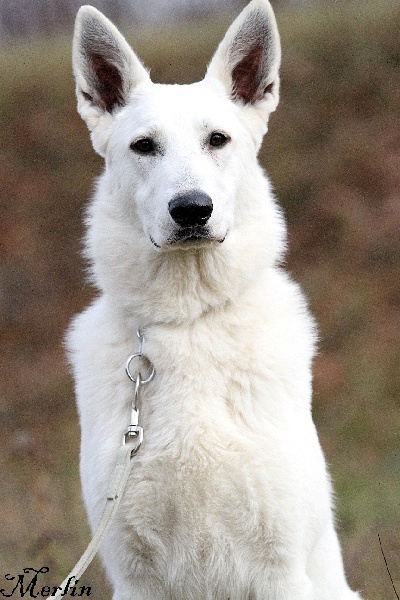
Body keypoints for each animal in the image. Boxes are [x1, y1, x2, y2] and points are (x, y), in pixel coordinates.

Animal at [68, 2, 362, 596]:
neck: (191, 320)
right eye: (144, 146)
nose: (191, 210)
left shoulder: (279, 571)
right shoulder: (134, 576)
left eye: (218, 139)